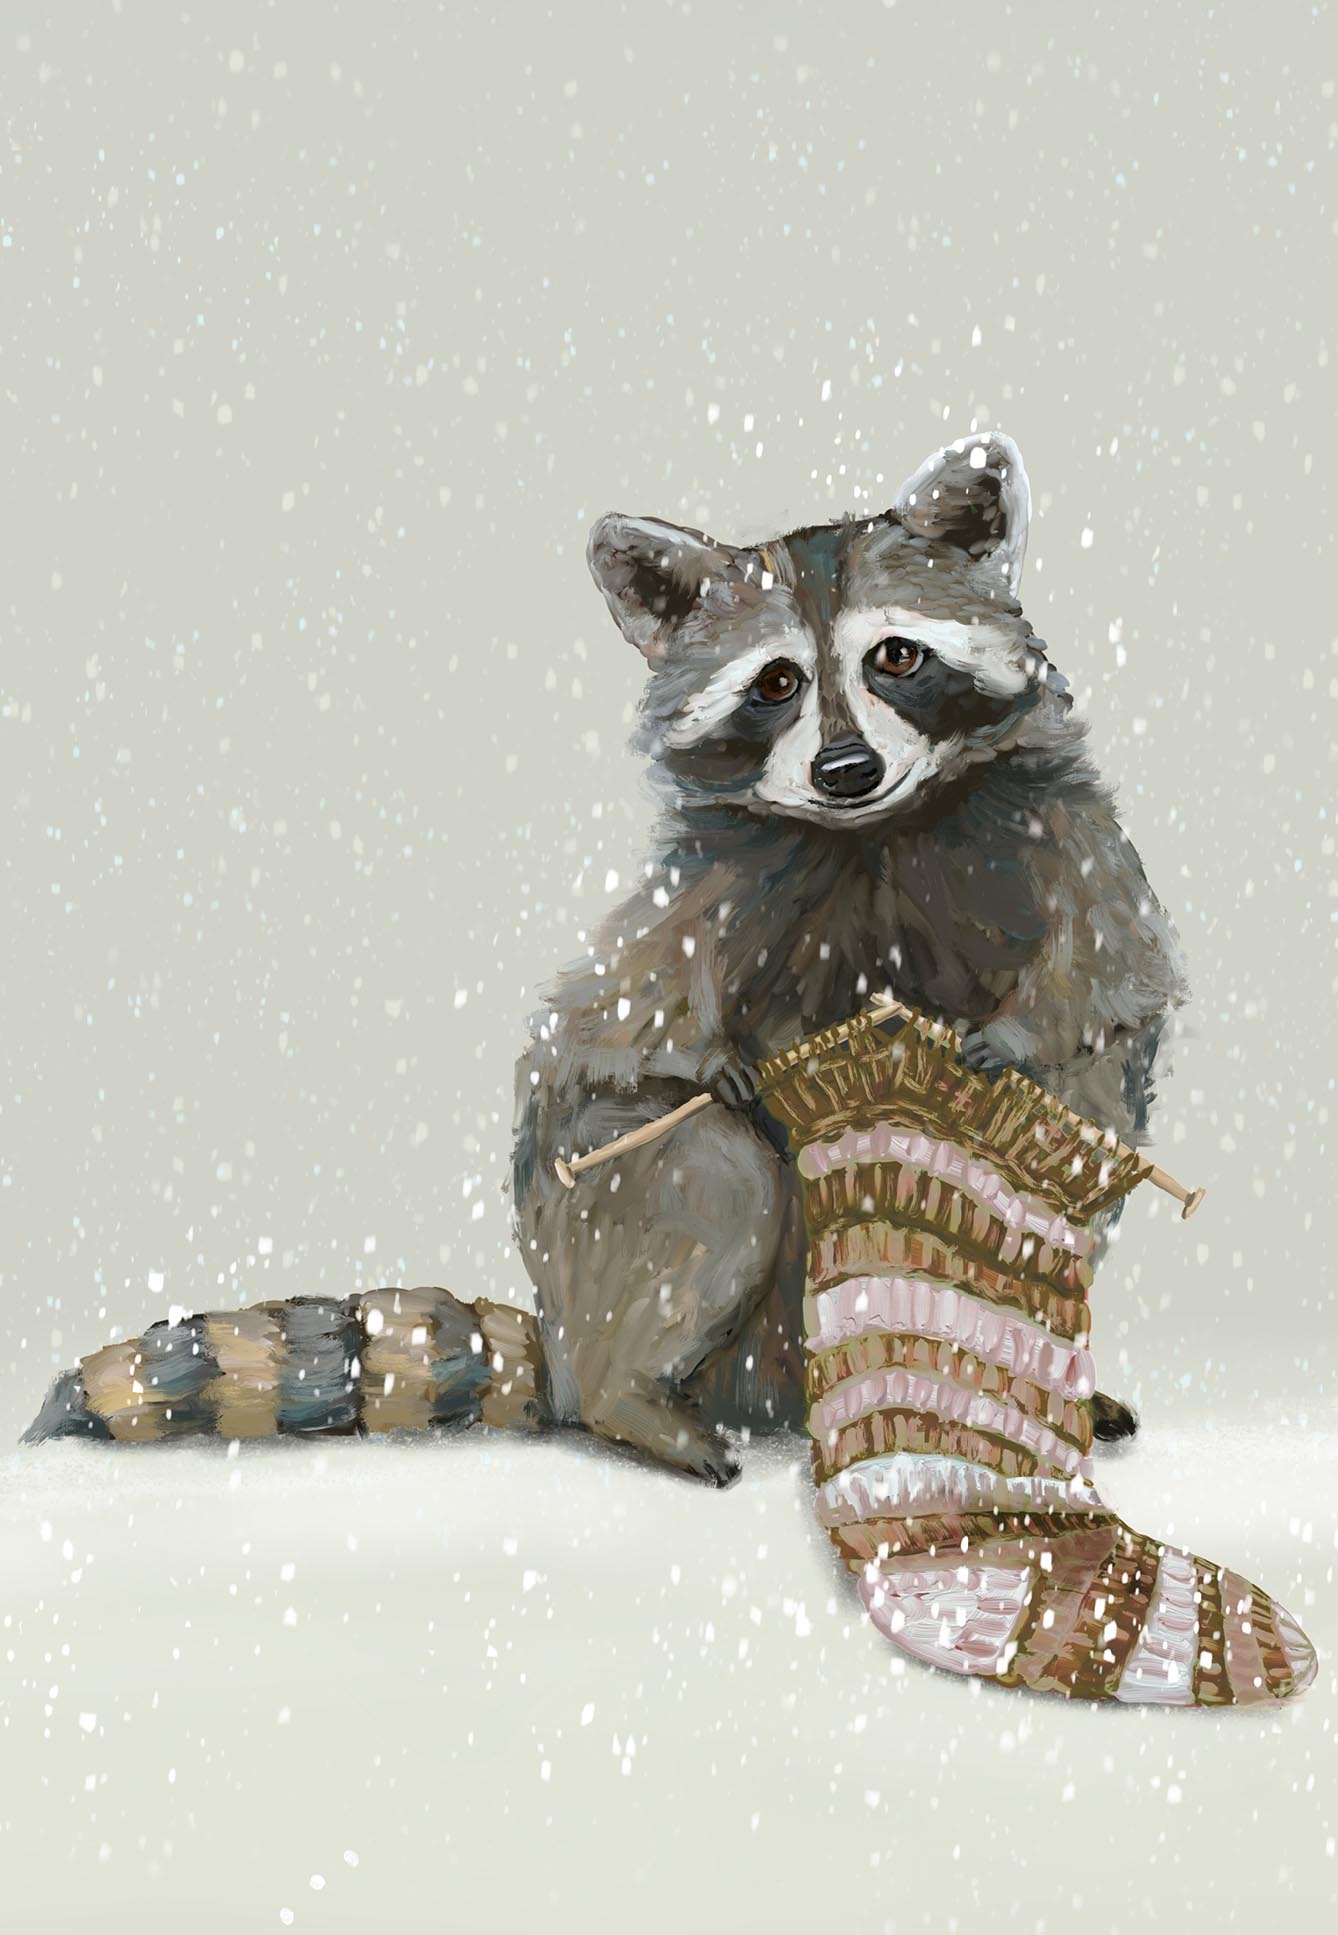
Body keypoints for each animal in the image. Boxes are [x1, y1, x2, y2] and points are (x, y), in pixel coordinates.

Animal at [25, 433, 1186, 1480]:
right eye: (774, 683)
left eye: (897, 657)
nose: (845, 769)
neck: (873, 830)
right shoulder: (695, 897)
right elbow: (614, 1024)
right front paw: (712, 1060)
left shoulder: (1068, 836)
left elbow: (1111, 982)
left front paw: (1012, 1038)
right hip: (591, 1234)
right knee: (707, 1171)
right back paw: (637, 1398)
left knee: (1059, 1161)